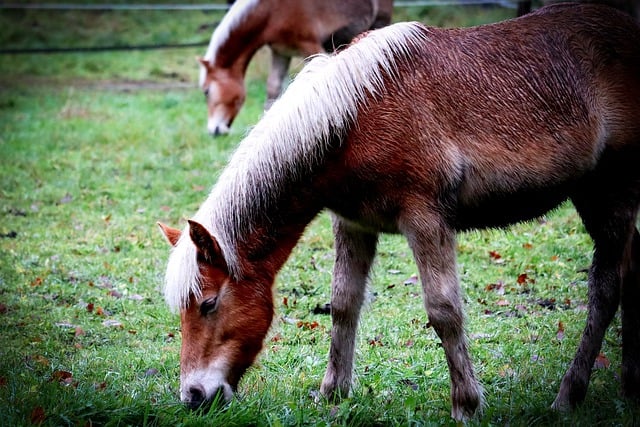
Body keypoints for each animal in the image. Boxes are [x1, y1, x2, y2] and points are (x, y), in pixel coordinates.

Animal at [198, 0, 392, 136]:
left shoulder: (311, 46)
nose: (215, 130)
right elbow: (273, 89)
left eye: (206, 91)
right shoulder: (280, 52)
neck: (271, 10)